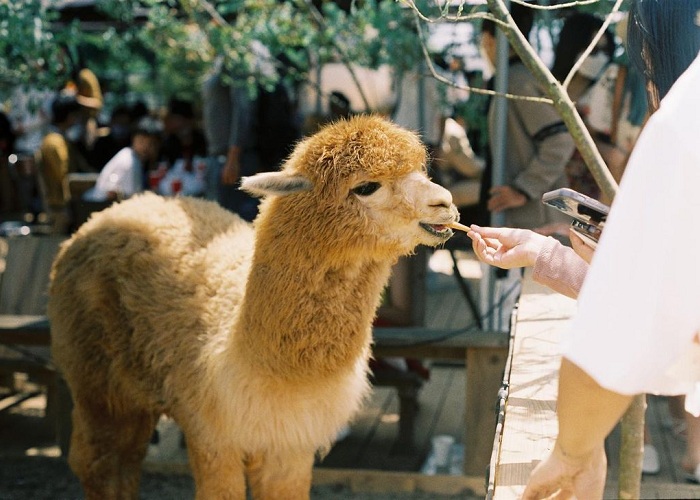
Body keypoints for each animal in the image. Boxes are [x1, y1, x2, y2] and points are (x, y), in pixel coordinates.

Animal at [48, 114, 459, 499]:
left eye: (421, 170)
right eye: (366, 186)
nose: (445, 204)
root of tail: (114, 211)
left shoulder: (289, 442)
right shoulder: (213, 433)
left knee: (126, 459)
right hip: (95, 377)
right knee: (97, 461)